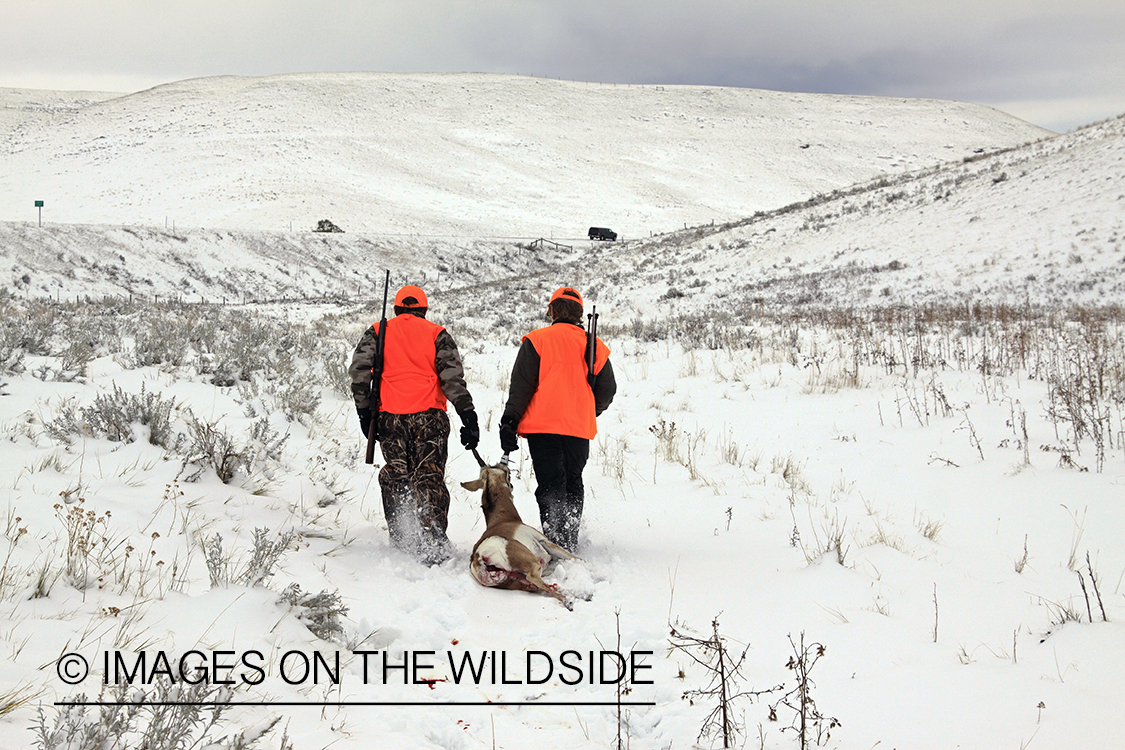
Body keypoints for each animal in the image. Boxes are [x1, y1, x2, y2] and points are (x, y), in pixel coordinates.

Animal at [461, 452, 580, 611]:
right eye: (507, 473)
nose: (511, 483)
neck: (505, 519)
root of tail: (477, 556)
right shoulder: (545, 542)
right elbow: (575, 558)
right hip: (532, 566)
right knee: (537, 579)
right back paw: (569, 600)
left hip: (518, 580)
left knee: (544, 586)